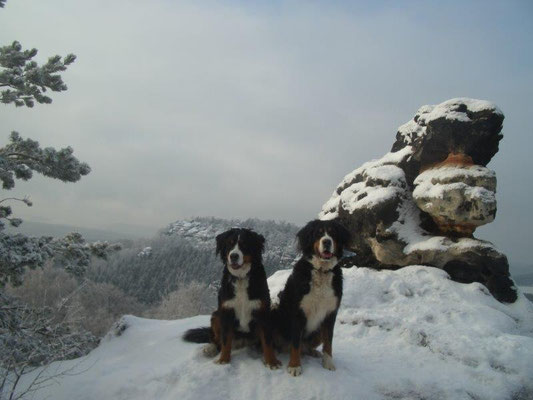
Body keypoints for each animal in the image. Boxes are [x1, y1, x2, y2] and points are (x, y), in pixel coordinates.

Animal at [183, 228, 280, 368]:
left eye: (244, 244)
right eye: (229, 244)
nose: (234, 256)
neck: (240, 278)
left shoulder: (263, 313)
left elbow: (267, 341)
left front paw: (271, 361)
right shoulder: (226, 311)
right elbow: (225, 341)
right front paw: (223, 360)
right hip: (216, 315)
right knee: (216, 340)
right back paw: (210, 349)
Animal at [272, 220, 352, 376]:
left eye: (332, 233)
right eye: (318, 233)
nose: (327, 241)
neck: (321, 271)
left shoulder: (330, 313)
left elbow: (329, 342)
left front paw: (328, 363)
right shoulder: (298, 312)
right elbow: (295, 343)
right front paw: (294, 366)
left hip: (318, 330)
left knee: (307, 347)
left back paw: (314, 352)